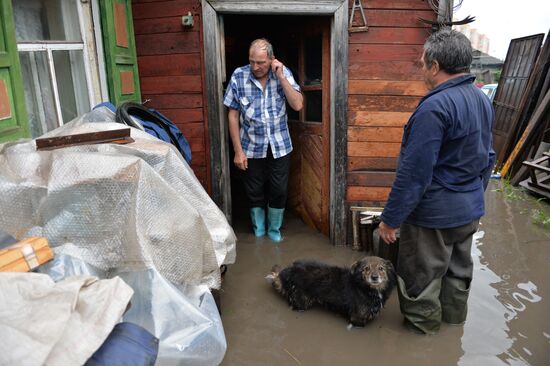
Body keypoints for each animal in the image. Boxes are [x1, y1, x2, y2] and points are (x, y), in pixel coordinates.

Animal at [266, 256, 396, 328]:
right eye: (366, 268)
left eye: (381, 268)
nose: (374, 277)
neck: (366, 289)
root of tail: (288, 270)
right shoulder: (357, 319)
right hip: (301, 300)